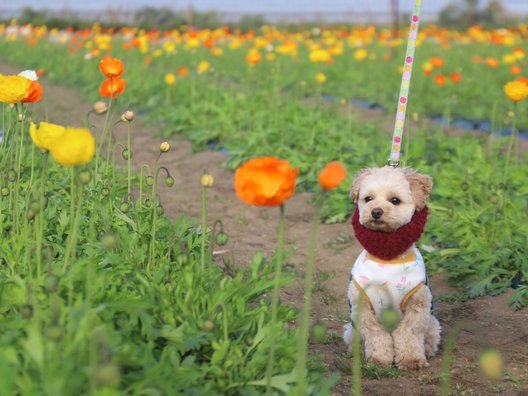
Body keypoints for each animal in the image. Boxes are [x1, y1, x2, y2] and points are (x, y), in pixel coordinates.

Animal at [342, 166, 442, 370]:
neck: (387, 259)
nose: (376, 211)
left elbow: (408, 333)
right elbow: (376, 335)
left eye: (395, 200)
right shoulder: (362, 307)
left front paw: (411, 360)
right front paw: (378, 360)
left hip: (433, 325)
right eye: (368, 198)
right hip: (351, 330)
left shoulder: (417, 304)